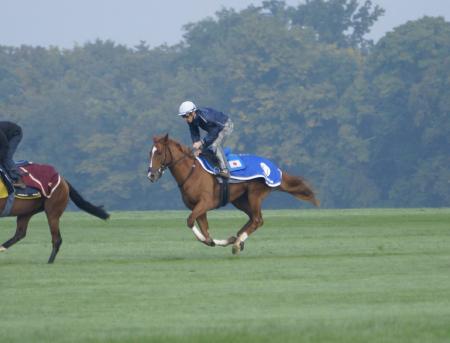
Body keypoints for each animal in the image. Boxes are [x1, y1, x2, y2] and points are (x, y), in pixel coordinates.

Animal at [147, 134, 316, 255]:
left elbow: (190, 222)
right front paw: (224, 240)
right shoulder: (198, 208)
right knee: (254, 219)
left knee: (257, 220)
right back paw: (238, 239)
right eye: (150, 153)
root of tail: (275, 168)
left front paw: (227, 241)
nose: (151, 175)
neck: (192, 172)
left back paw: (237, 243)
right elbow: (206, 235)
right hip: (240, 200)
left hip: (254, 195)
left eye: (159, 152)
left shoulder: (205, 203)